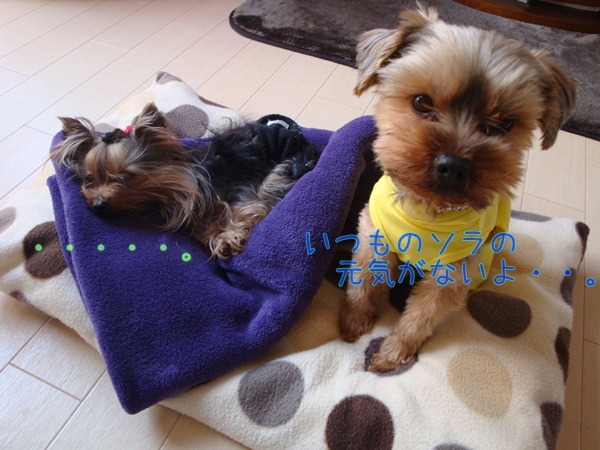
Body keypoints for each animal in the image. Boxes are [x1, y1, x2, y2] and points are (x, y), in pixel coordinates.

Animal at [52, 102, 321, 259]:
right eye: (90, 178)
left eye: (127, 176)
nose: (98, 205)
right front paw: (218, 237)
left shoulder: (240, 194)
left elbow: (246, 210)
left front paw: (227, 239)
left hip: (287, 168)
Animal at [339, 6, 577, 372]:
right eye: (421, 102)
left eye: (504, 124)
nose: (454, 165)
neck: (429, 210)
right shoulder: (374, 236)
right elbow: (362, 281)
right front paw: (353, 323)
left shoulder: (454, 273)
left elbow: (420, 316)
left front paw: (391, 354)